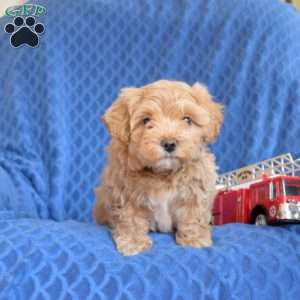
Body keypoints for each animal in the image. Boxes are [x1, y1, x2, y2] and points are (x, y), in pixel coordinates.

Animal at [94, 79, 223, 255]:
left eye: (187, 120)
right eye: (146, 120)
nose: (169, 143)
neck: (163, 173)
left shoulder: (196, 187)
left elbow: (193, 215)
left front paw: (194, 239)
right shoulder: (125, 192)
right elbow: (130, 218)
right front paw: (134, 242)